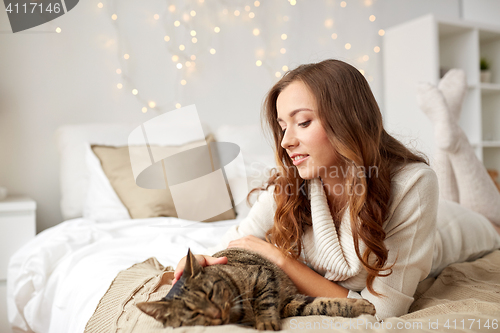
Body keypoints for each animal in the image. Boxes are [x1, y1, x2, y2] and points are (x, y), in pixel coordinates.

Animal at [137, 246, 376, 330]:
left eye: (211, 294)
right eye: (194, 314)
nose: (216, 313)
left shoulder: (264, 275)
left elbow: (325, 303)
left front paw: (362, 306)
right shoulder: (289, 302)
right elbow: (320, 305)